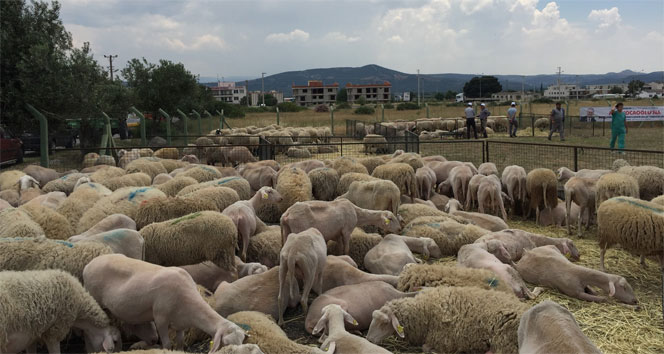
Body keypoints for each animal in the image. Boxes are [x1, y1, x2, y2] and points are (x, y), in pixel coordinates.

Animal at [84, 254, 245, 352]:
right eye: (227, 344)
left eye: (241, 342)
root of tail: (89, 265)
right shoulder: (160, 319)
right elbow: (167, 344)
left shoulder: (181, 323)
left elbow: (180, 343)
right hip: (95, 299)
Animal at [364, 288, 528, 354]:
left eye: (385, 322)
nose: (369, 339)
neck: (424, 310)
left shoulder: (444, 340)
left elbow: (426, 348)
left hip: (504, 342)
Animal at [512, 243, 640, 304]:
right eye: (623, 287)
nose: (635, 301)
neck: (578, 275)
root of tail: (527, 252)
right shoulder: (574, 292)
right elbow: (601, 299)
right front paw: (604, 298)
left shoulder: (584, 286)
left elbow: (592, 291)